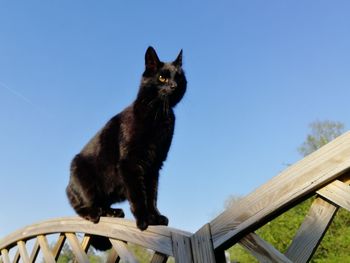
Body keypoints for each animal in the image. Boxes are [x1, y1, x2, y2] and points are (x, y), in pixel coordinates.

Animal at [65, 46, 186, 251]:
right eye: (162, 77)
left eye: (179, 77)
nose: (174, 86)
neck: (159, 115)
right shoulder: (130, 162)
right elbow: (138, 194)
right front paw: (144, 219)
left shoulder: (154, 165)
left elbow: (152, 194)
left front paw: (155, 216)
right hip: (80, 171)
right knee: (81, 205)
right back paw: (94, 212)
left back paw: (112, 212)